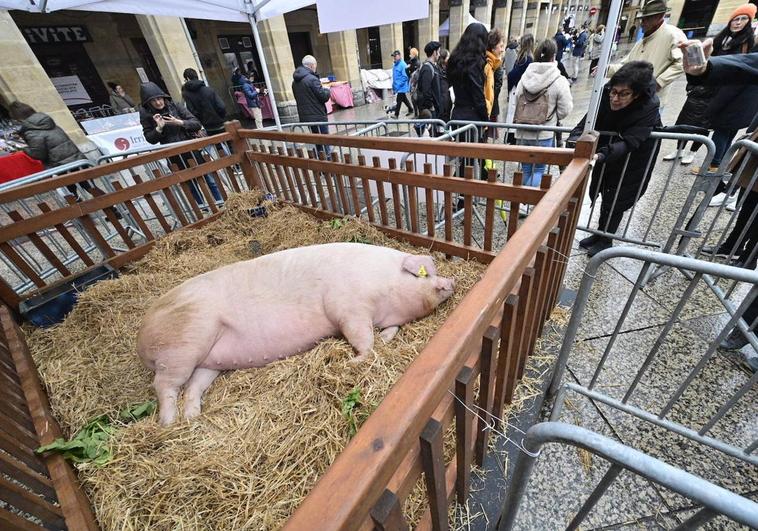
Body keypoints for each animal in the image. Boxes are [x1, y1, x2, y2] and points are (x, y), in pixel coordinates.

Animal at [135, 243, 458, 426]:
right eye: (426, 273)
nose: (451, 281)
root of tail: (141, 337)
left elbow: (388, 331)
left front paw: (385, 339)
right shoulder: (348, 307)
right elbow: (363, 339)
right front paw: (353, 362)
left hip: (209, 360)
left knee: (193, 387)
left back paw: (192, 418)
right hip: (181, 345)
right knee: (162, 385)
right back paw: (168, 423)